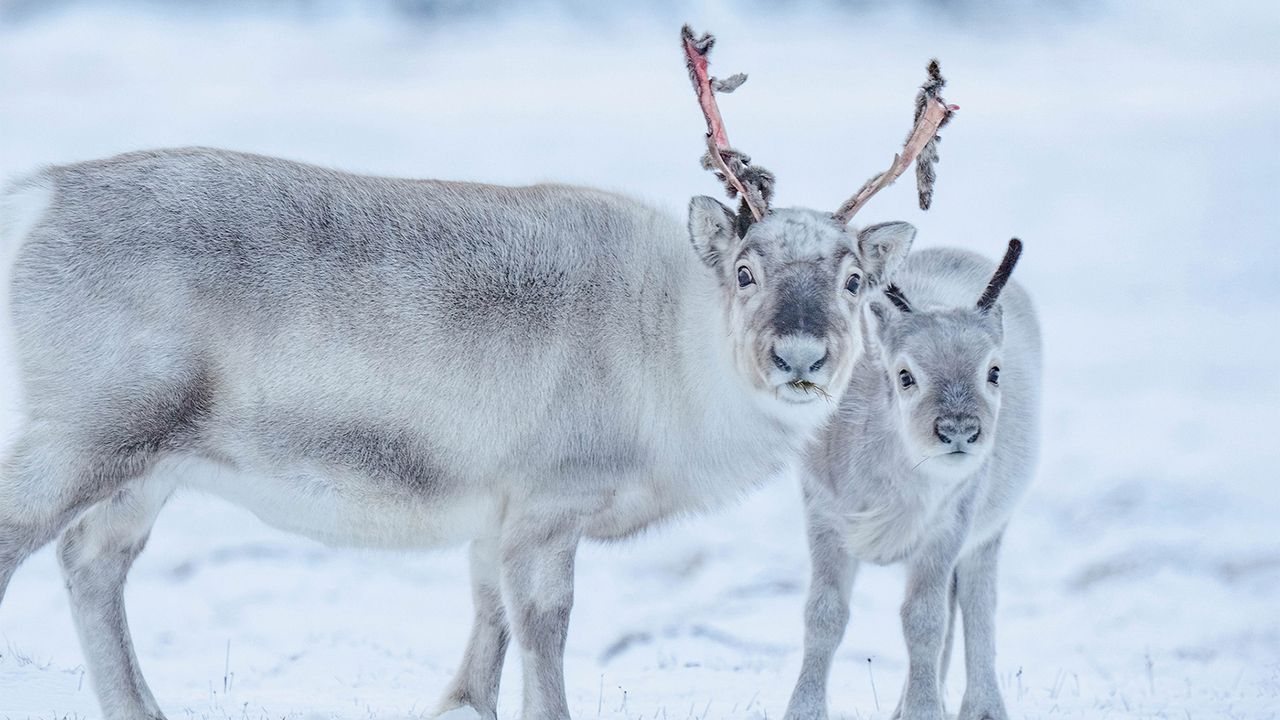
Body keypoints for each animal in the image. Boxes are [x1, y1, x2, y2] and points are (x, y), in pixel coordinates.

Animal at [0, 26, 956, 720]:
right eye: (748, 271)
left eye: (854, 280)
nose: (800, 358)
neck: (673, 343)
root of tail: (39, 194)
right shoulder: (548, 504)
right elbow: (543, 635)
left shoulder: (493, 518)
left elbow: (484, 635)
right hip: (87, 434)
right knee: (28, 538)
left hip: (149, 464)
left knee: (93, 561)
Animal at [782, 238, 1041, 720]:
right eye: (905, 375)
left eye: (994, 371)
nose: (959, 431)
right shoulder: (823, 514)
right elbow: (823, 614)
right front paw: (803, 709)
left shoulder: (948, 526)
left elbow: (924, 621)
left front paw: (924, 710)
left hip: (988, 532)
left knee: (976, 606)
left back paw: (982, 708)